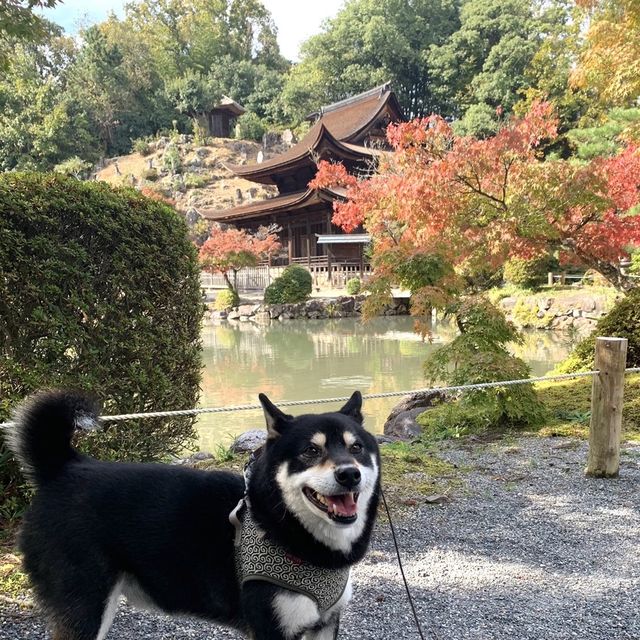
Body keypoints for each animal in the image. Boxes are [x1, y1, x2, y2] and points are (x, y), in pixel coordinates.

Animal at [8, 390, 380, 640]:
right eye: (310, 451)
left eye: (357, 448)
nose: (349, 474)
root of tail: (65, 466)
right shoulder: (271, 629)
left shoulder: (326, 623)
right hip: (86, 608)